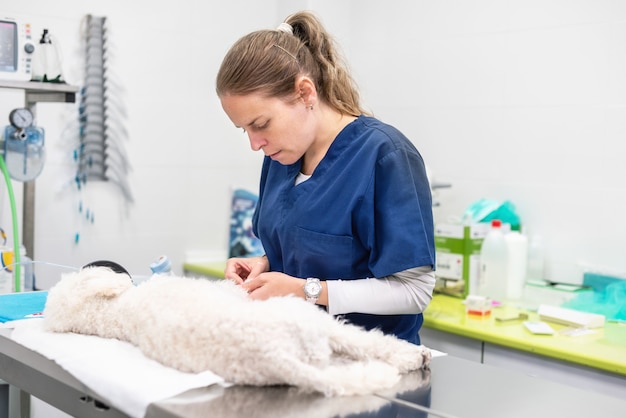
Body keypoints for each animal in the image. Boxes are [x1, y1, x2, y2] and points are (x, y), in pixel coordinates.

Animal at [44, 266, 428, 396]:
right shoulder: (238, 294)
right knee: (365, 342)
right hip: (310, 320)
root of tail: (275, 359)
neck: (115, 314)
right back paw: (412, 356)